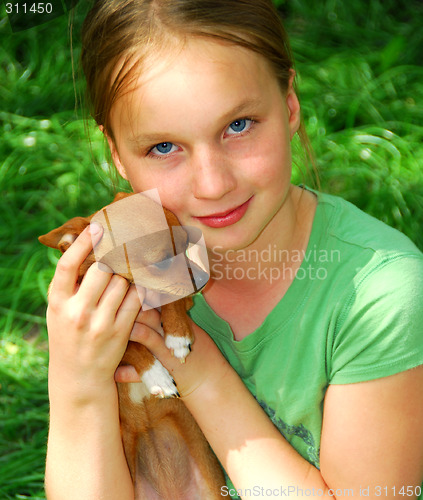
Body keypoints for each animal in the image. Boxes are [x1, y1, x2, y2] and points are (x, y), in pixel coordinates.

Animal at [39, 192, 225, 500]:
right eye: (162, 262)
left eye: (187, 244)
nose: (203, 279)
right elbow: (131, 346)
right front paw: (157, 375)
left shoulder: (180, 297)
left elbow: (171, 298)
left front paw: (177, 335)